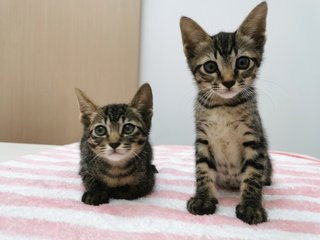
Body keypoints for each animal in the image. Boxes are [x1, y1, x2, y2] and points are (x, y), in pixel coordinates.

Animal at [180, 1, 272, 225]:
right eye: (210, 66)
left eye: (242, 62)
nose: (229, 82)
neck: (224, 107)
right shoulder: (202, 139)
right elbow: (202, 170)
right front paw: (203, 198)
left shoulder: (254, 139)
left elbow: (253, 175)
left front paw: (251, 206)